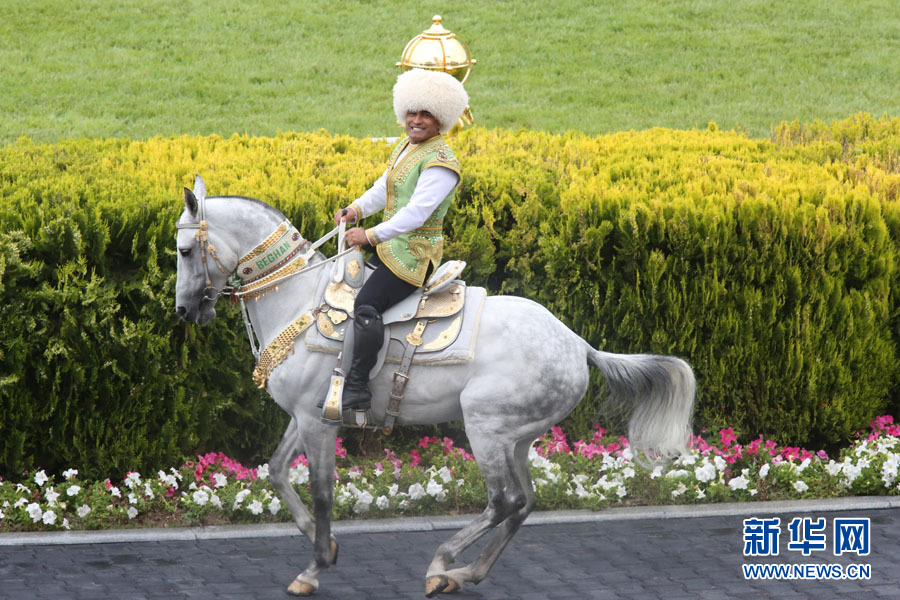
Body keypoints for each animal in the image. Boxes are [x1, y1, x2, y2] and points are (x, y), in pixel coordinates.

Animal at [174, 175, 695, 596]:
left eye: (183, 250)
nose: (184, 310)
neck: (302, 300)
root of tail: (577, 344)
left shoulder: (319, 422)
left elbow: (322, 491)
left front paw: (314, 567)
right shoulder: (303, 416)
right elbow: (278, 472)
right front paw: (329, 547)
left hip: (485, 426)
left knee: (503, 501)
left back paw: (443, 563)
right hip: (517, 438)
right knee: (524, 502)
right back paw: (463, 574)